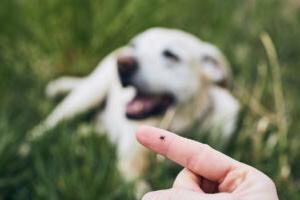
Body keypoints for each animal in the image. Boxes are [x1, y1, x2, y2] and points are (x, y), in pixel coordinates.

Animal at [31, 27, 241, 196]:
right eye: (135, 45)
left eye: (171, 55)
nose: (122, 62)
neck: (176, 124)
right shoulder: (129, 165)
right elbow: (142, 188)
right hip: (87, 96)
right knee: (48, 125)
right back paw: (28, 147)